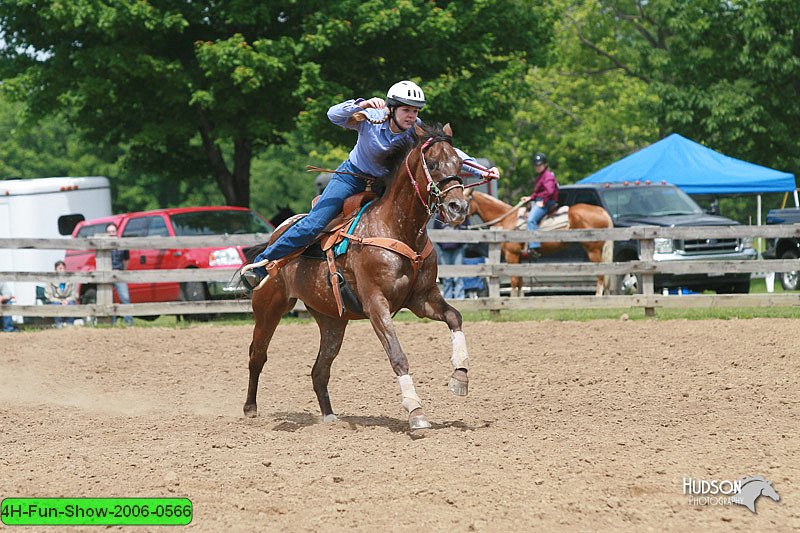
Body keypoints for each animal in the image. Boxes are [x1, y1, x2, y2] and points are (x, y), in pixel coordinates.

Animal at [242, 121, 468, 428]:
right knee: (258, 355)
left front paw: (460, 377)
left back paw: (329, 417)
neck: (396, 228)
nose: (459, 207)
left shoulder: (422, 298)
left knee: (319, 369)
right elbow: (398, 356)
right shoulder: (376, 304)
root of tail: (277, 232)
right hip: (269, 307)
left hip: (331, 320)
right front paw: (416, 413)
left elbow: (454, 317)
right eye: (431, 164)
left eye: (459, 163)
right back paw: (250, 408)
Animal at [462, 188, 612, 298]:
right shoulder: (519, 257)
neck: (507, 219)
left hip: (593, 250)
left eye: (465, 200)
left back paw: (598, 296)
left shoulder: (512, 255)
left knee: (601, 273)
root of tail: (602, 211)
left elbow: (514, 280)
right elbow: (520, 281)